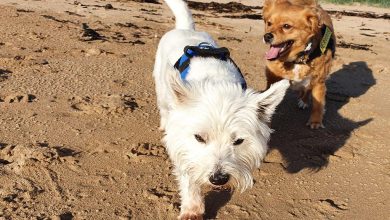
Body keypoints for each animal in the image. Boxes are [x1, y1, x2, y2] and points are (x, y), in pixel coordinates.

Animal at [152, 0, 290, 219]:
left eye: (238, 141)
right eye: (199, 138)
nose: (218, 179)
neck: (217, 83)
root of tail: (185, 28)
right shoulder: (182, 143)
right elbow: (188, 173)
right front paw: (192, 209)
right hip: (161, 86)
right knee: (165, 107)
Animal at [262, 0, 336, 129]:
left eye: (287, 26)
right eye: (269, 23)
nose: (267, 36)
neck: (296, 60)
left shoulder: (319, 82)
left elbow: (318, 104)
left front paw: (315, 121)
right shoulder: (272, 79)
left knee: (308, 89)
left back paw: (304, 101)